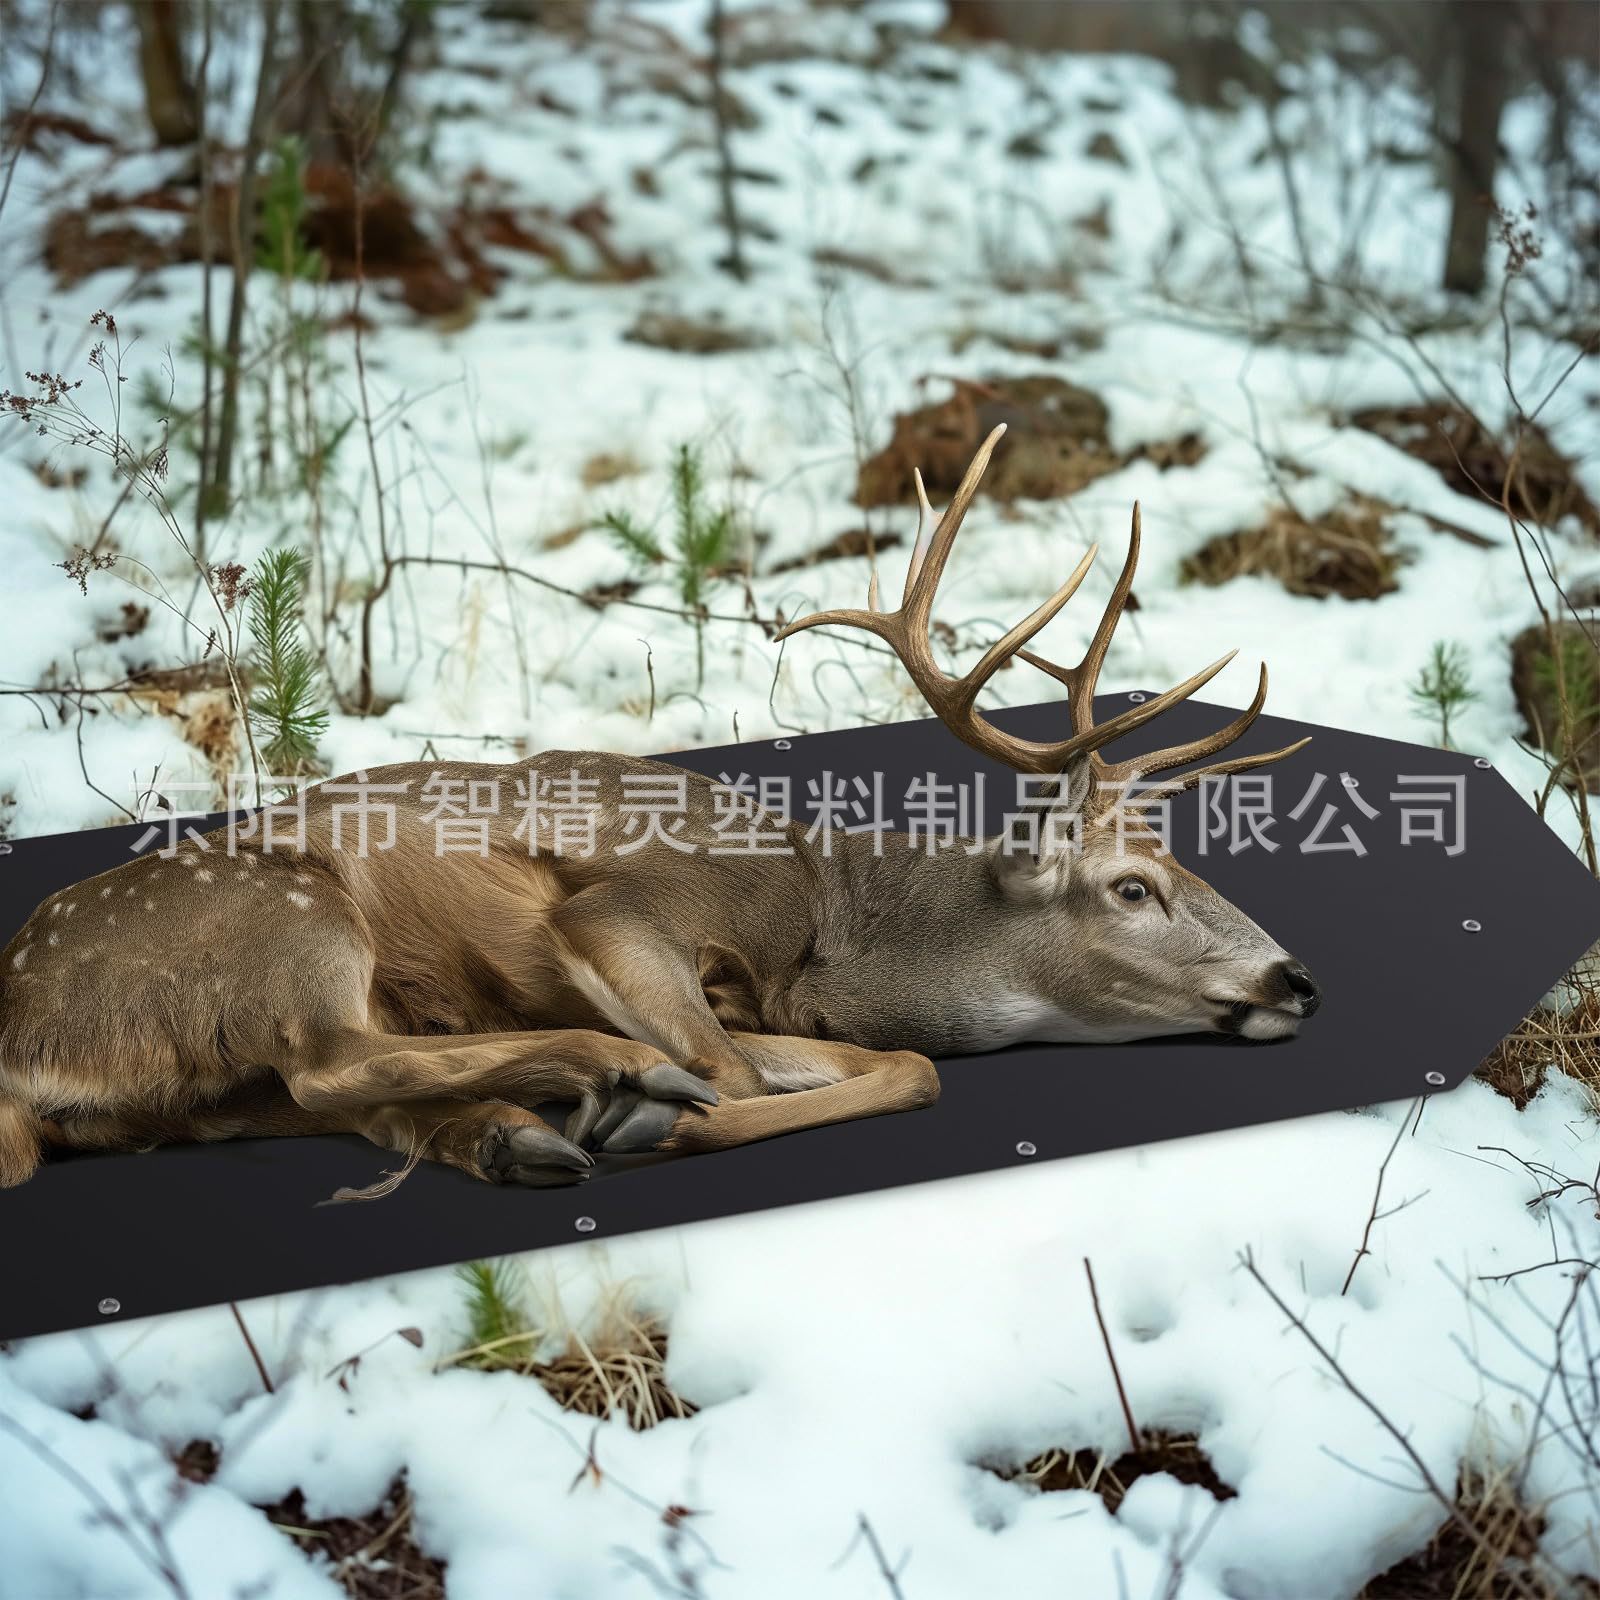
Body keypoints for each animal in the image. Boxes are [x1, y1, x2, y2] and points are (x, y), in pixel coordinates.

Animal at [0, 425, 1320, 1193]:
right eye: (1133, 886)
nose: (1296, 977)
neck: (826, 918)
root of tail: (22, 1038)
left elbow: (902, 1065)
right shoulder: (627, 909)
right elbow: (739, 1073)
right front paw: (652, 1118)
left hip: (213, 1098)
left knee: (338, 1095)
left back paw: (518, 1129)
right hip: (286, 908)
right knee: (334, 1060)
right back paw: (601, 1084)